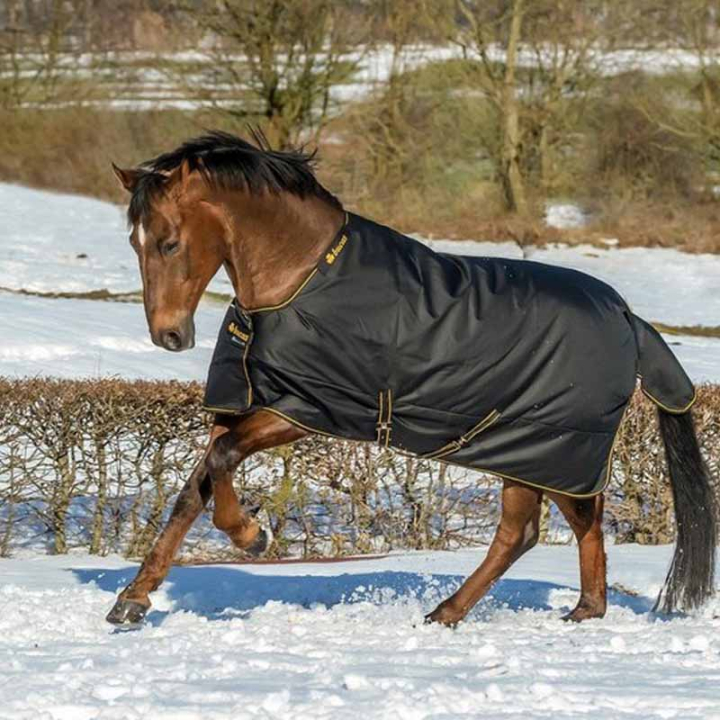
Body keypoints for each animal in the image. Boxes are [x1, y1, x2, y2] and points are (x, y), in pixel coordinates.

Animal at [106, 130, 717, 628]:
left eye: (169, 241)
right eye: (134, 242)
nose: (169, 335)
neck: (301, 277)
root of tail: (629, 319)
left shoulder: (304, 411)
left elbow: (222, 459)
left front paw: (254, 537)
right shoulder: (244, 405)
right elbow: (195, 487)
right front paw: (132, 601)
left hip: (547, 450)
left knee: (534, 531)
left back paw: (458, 612)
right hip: (537, 455)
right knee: (567, 524)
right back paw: (570, 610)